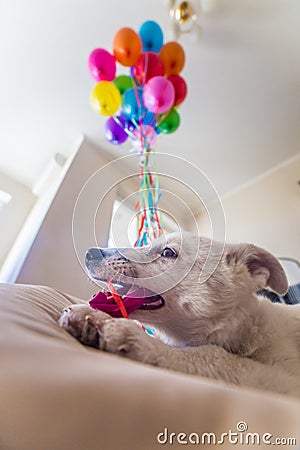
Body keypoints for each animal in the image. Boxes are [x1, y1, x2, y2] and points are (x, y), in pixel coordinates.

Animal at [58, 234, 300, 396]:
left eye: (168, 253)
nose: (89, 253)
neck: (243, 327)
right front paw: (95, 317)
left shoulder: (285, 378)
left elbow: (216, 355)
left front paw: (141, 341)